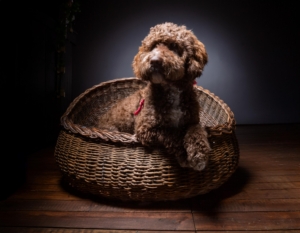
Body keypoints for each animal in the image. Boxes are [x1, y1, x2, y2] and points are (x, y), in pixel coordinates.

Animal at [98, 22, 211, 171]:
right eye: (152, 47)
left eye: (173, 46)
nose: (155, 61)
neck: (171, 90)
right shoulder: (145, 129)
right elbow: (172, 134)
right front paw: (183, 154)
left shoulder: (192, 120)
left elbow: (196, 130)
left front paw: (199, 153)